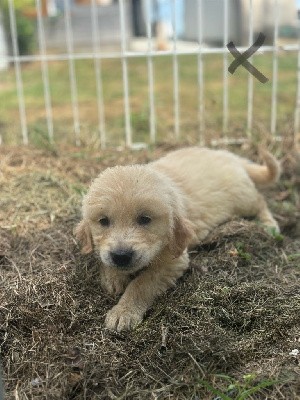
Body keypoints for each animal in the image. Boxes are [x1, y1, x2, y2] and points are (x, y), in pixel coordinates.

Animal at [75, 147, 282, 332]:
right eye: (103, 221)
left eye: (145, 219)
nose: (121, 256)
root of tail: (227, 155)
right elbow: (104, 259)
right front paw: (113, 277)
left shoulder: (174, 261)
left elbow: (141, 283)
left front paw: (124, 312)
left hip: (243, 199)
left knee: (261, 201)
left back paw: (269, 225)